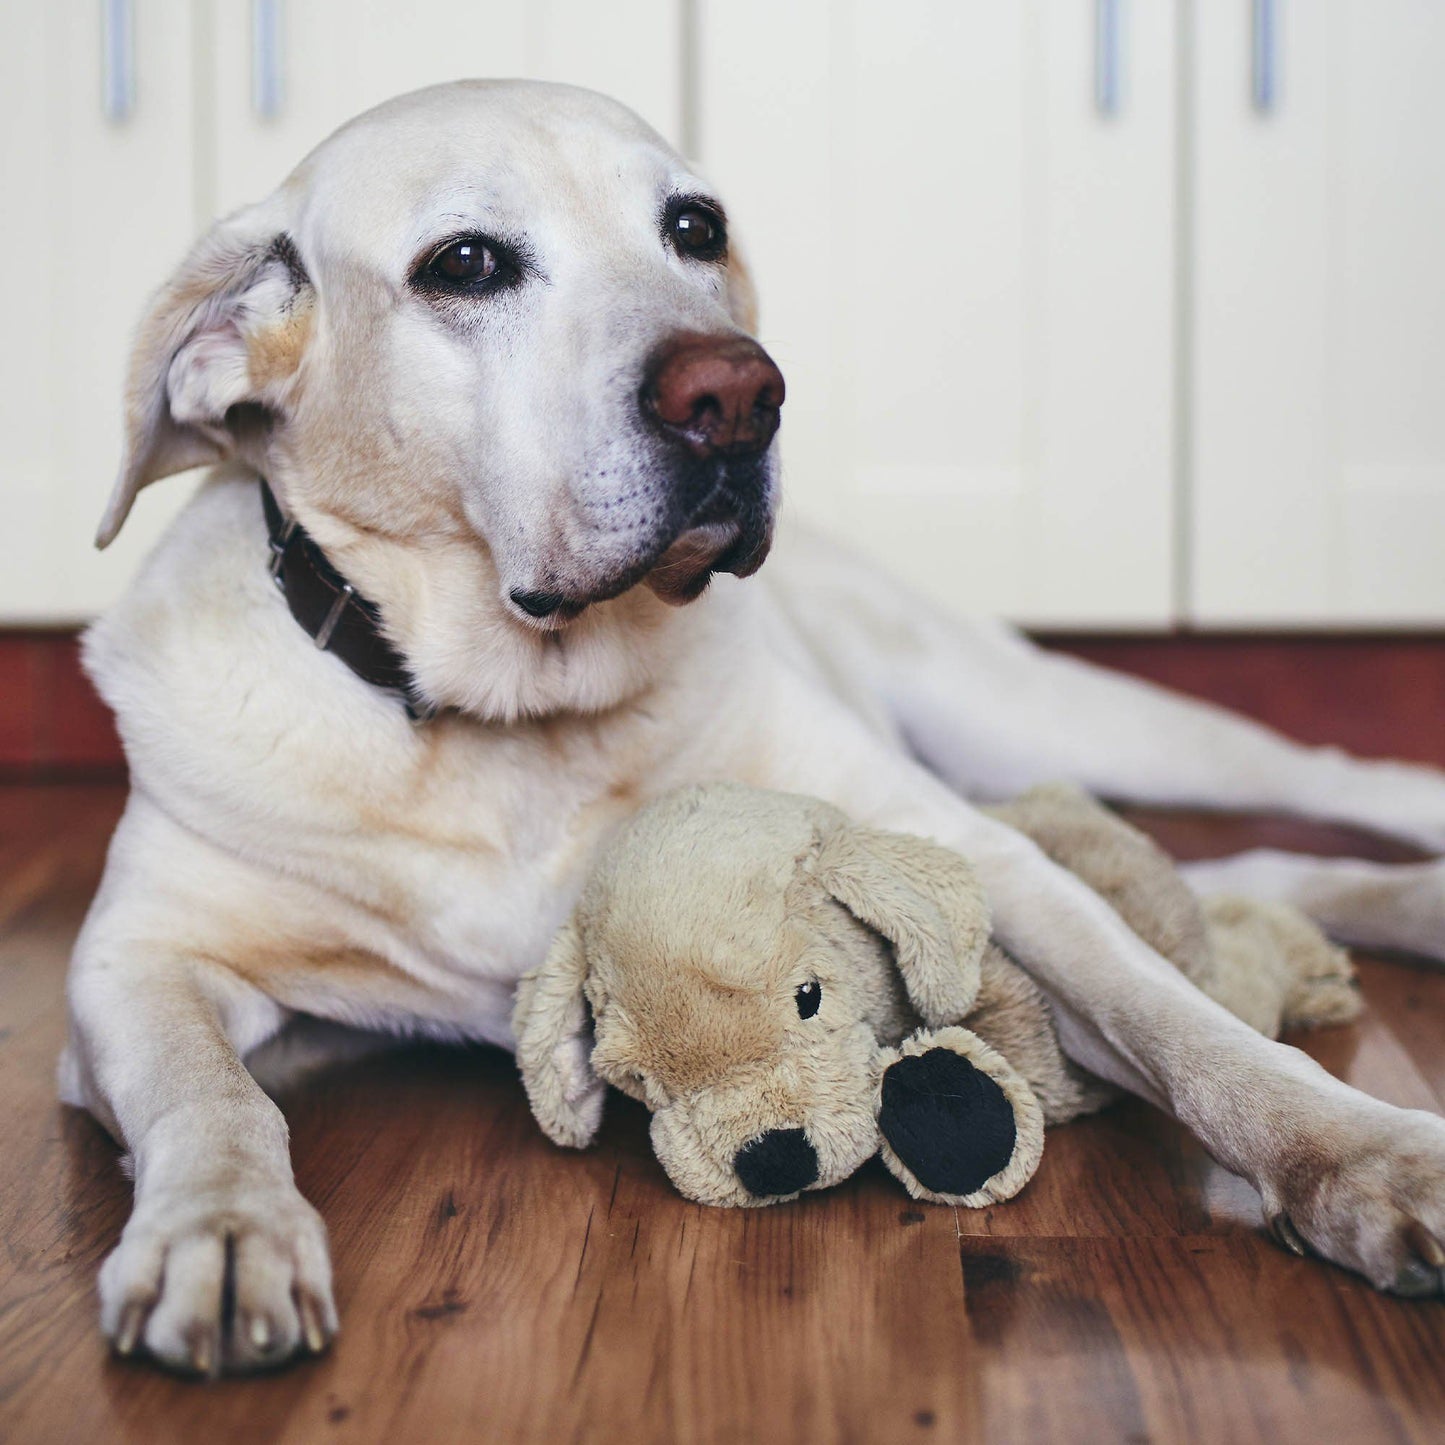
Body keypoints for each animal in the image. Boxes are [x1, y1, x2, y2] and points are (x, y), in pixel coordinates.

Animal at [70, 82, 1445, 1375]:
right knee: (1253, 869)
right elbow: (209, 1092)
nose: (736, 389)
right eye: (464, 263)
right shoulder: (134, 960)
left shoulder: (975, 859)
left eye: (694, 227)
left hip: (1036, 719)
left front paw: (1361, 1154)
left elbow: (1177, 1018)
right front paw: (222, 1231)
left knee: (1307, 785)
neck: (518, 719)